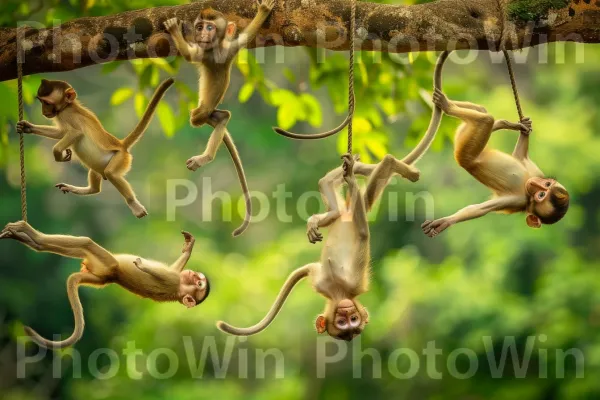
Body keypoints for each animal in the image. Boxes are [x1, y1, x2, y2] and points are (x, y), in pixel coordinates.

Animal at [0, 220, 211, 348]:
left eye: (199, 282)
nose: (194, 274)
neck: (180, 288)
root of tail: (111, 276)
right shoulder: (177, 278)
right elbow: (175, 268)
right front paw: (188, 247)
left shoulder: (173, 281)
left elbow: (160, 274)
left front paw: (142, 265)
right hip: (99, 269)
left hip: (106, 263)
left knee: (86, 243)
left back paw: (31, 236)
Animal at [16, 78, 175, 219]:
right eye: (41, 101)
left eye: (47, 102)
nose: (44, 111)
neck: (68, 106)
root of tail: (121, 144)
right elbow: (61, 133)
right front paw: (27, 127)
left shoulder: (68, 115)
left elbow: (75, 133)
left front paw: (58, 154)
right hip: (99, 165)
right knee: (96, 182)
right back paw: (87, 189)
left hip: (121, 158)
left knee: (111, 173)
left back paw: (133, 204)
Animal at [164, 0, 276, 236]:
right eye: (200, 27)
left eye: (210, 27)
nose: (202, 34)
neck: (214, 49)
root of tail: (202, 112)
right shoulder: (226, 48)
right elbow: (246, 36)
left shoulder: (217, 51)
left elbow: (190, 55)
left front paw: (175, 30)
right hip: (206, 111)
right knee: (223, 118)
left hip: (200, 114)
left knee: (209, 120)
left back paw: (204, 157)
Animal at [214, 50, 450, 340]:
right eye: (343, 322)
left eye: (352, 320)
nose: (347, 313)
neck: (339, 290)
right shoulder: (322, 281)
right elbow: (307, 270)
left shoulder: (345, 282)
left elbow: (360, 236)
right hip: (342, 202)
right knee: (339, 185)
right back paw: (370, 172)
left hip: (350, 206)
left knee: (361, 183)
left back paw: (380, 171)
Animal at [420, 88, 568, 238]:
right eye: (547, 184)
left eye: (541, 195)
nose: (535, 184)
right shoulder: (536, 172)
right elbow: (520, 157)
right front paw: (525, 127)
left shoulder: (517, 200)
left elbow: (477, 209)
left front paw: (444, 222)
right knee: (483, 111)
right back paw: (503, 123)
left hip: (465, 147)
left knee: (486, 120)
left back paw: (447, 105)